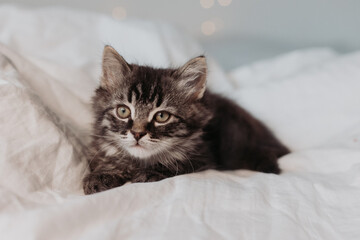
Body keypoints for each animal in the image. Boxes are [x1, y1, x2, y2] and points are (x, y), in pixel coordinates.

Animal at [82, 46, 290, 194]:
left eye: (162, 116)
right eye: (123, 111)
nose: (138, 133)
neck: (139, 162)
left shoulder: (203, 158)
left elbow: (175, 164)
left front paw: (151, 172)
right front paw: (103, 174)